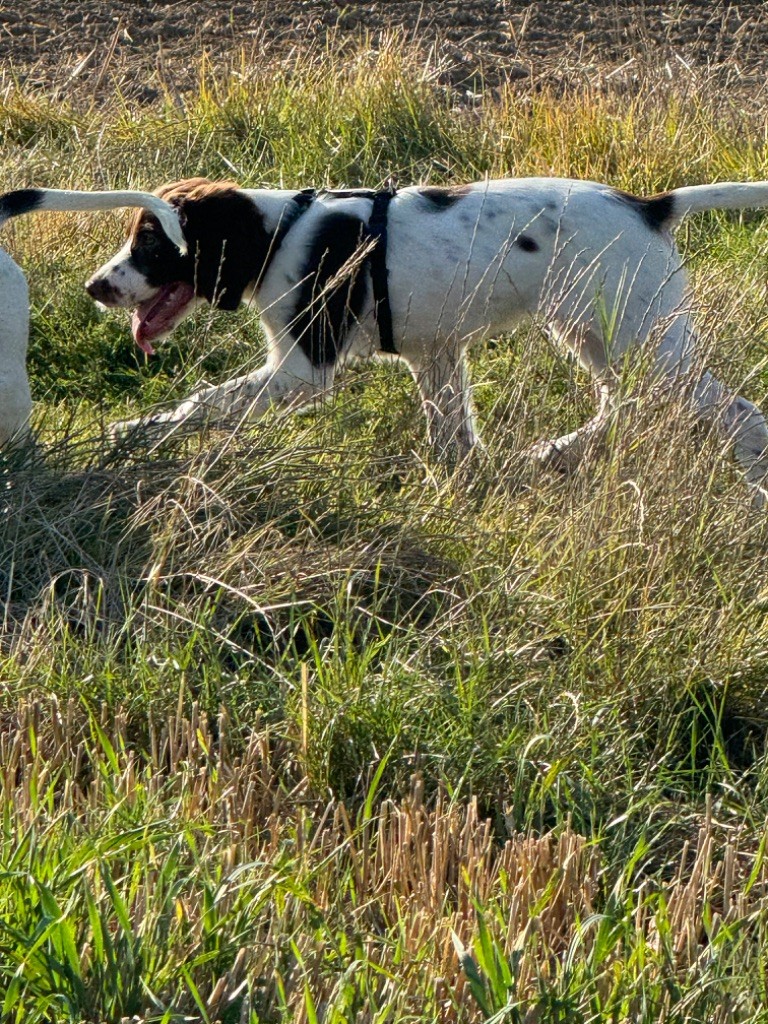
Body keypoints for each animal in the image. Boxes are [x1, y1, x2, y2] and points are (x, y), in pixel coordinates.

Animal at [3, 180, 768, 507]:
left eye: (152, 243)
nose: (95, 287)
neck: (284, 232)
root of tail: (652, 206)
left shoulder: (303, 369)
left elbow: (202, 404)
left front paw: (133, 431)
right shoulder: (435, 354)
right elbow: (453, 437)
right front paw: (461, 488)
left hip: (640, 339)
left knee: (738, 415)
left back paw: (755, 490)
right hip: (599, 334)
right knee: (625, 406)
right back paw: (555, 452)